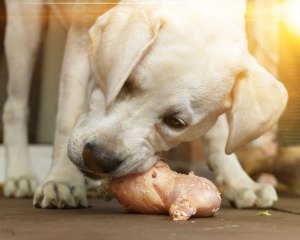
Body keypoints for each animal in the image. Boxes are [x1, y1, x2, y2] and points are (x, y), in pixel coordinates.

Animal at [2, 0, 288, 209]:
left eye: (176, 122)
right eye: (125, 83)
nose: (98, 159)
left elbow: (219, 135)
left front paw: (240, 183)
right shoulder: (82, 33)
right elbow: (68, 114)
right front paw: (61, 180)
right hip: (23, 28)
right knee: (15, 106)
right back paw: (20, 176)